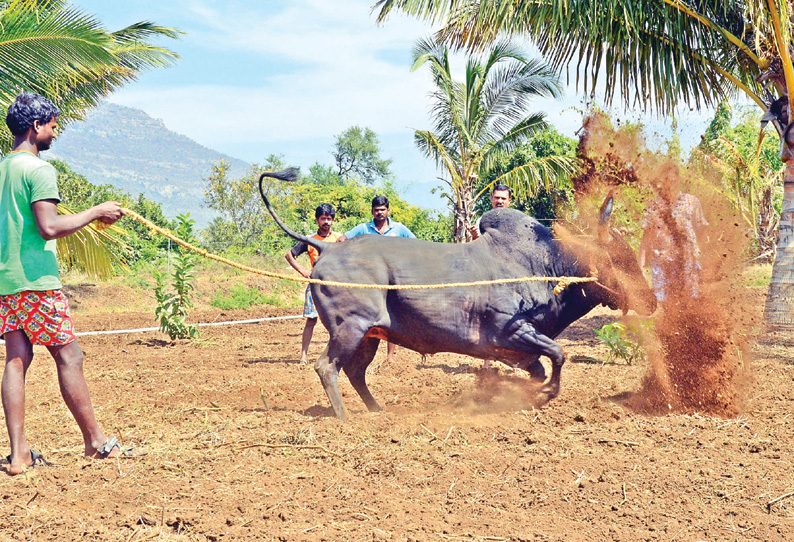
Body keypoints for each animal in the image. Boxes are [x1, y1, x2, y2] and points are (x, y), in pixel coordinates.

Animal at [256, 170, 652, 420]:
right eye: (621, 259)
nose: (652, 300)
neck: (546, 266)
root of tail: (327, 248)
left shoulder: (519, 350)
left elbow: (543, 365)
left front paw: (527, 394)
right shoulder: (513, 331)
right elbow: (558, 354)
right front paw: (545, 394)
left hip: (369, 335)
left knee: (354, 372)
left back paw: (377, 411)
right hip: (350, 328)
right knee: (328, 367)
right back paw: (344, 417)